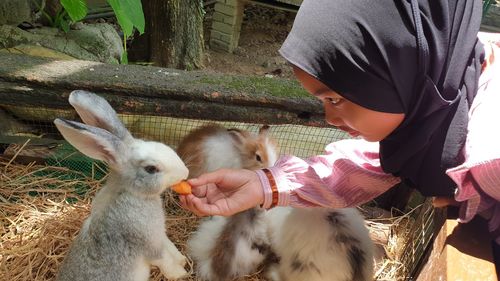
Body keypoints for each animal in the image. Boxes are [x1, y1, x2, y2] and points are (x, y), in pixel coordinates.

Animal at [54, 89, 188, 280]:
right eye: (151, 169)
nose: (185, 172)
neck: (129, 192)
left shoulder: (160, 235)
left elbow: (170, 247)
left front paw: (182, 259)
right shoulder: (152, 247)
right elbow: (165, 261)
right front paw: (181, 273)